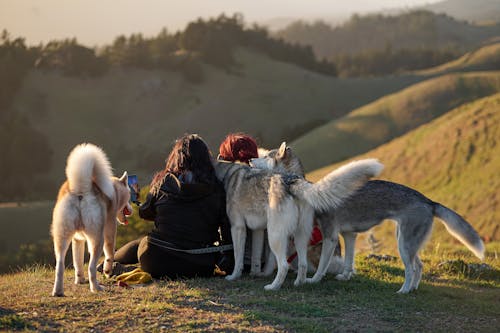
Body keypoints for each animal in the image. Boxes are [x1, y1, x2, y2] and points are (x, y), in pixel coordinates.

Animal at [50, 143, 132, 296]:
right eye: (129, 197)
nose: (131, 209)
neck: (115, 191)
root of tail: (81, 188)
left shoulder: (77, 240)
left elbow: (77, 263)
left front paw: (79, 280)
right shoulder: (110, 229)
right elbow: (110, 253)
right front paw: (107, 270)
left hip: (61, 237)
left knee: (60, 266)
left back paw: (58, 291)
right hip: (97, 239)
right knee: (91, 267)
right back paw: (96, 288)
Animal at [215, 157, 382, 290]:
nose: (249, 159)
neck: (228, 172)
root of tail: (292, 182)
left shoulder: (238, 228)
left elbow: (238, 257)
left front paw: (234, 276)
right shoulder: (258, 230)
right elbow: (256, 257)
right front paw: (255, 273)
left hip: (275, 236)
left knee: (284, 265)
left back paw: (273, 287)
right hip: (299, 235)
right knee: (302, 264)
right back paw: (299, 283)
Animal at [252, 141, 486, 292]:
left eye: (266, 156)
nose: (252, 158)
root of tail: (428, 201)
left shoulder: (330, 236)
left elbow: (322, 266)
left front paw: (314, 280)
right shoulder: (349, 235)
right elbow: (348, 261)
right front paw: (345, 276)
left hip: (404, 245)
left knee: (411, 269)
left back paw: (403, 290)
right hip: (407, 241)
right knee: (419, 266)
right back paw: (413, 289)